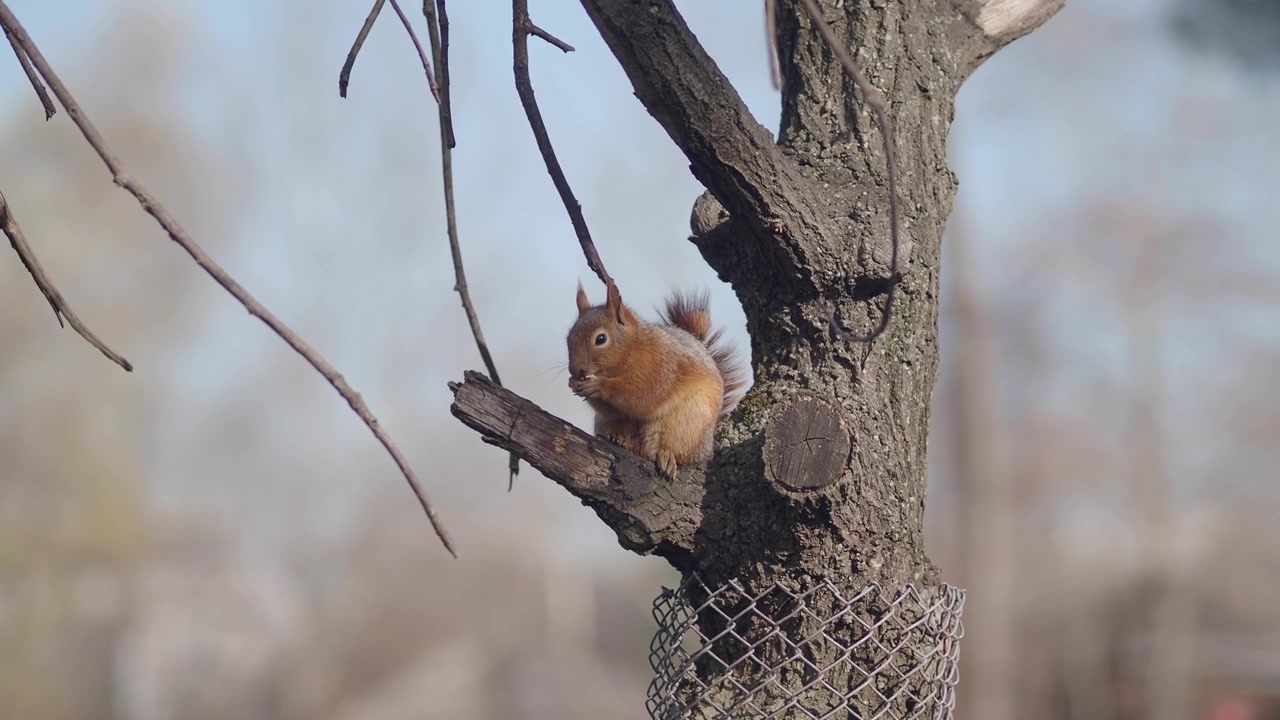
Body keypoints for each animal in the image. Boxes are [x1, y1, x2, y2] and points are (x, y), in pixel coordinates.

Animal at [566, 280, 745, 478]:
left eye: (600, 339)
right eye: (569, 338)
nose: (575, 370)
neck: (629, 353)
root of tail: (706, 450)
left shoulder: (662, 368)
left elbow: (643, 396)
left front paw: (599, 385)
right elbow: (614, 411)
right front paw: (574, 383)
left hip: (687, 424)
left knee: (674, 450)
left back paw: (667, 455)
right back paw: (617, 437)